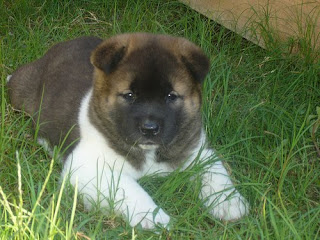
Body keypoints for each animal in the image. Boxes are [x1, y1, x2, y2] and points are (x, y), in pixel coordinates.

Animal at [6, 33, 248, 229]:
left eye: (171, 96)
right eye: (129, 95)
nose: (149, 128)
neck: (150, 152)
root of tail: (60, 46)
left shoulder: (197, 151)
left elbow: (216, 174)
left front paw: (230, 203)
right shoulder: (89, 168)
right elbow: (128, 188)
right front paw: (155, 218)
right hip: (20, 91)